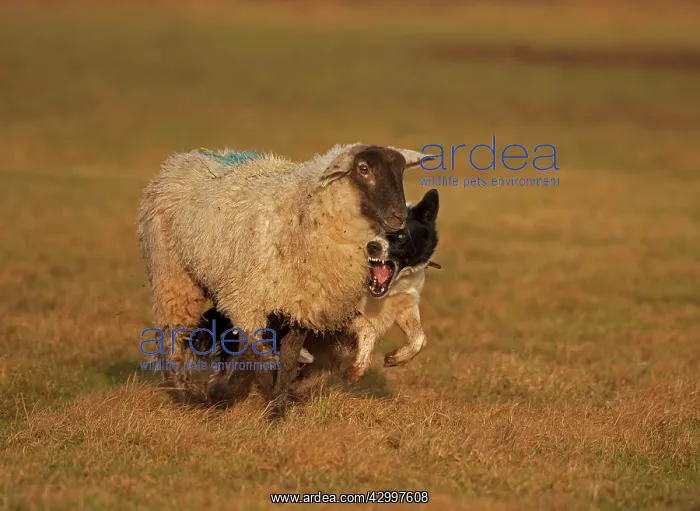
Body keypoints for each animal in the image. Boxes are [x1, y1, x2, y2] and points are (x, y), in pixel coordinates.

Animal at [137, 143, 434, 418]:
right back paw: (185, 393)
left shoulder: (300, 305)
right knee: (174, 334)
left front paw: (276, 409)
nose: (399, 216)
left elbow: (288, 360)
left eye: (401, 171)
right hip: (173, 277)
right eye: (363, 169)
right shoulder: (247, 302)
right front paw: (232, 392)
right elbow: (258, 353)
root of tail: (184, 157)